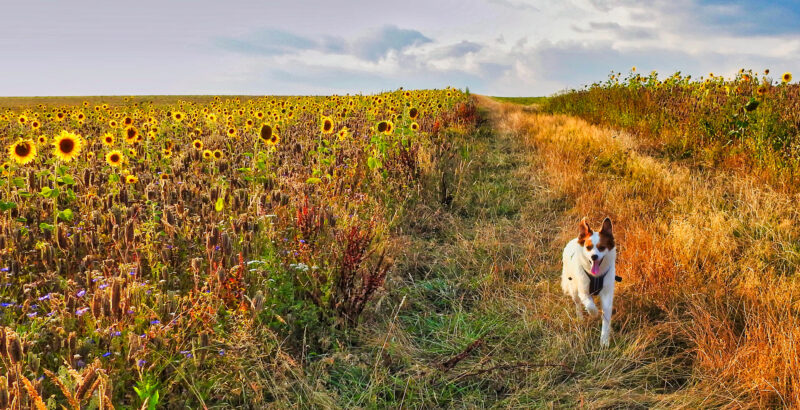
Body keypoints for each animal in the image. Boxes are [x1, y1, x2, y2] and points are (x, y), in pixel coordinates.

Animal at [564, 218, 620, 346]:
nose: (594, 256)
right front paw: (594, 314)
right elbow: (590, 305)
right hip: (574, 289)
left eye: (602, 247)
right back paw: (580, 317)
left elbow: (606, 318)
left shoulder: (607, 295)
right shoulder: (583, 291)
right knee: (578, 304)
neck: (596, 276)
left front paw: (604, 340)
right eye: (588, 247)